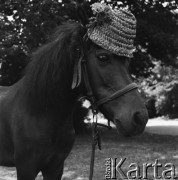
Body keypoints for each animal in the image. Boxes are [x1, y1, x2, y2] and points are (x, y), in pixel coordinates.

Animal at [0, 21, 147, 179]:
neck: (40, 111)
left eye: (127, 61)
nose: (140, 117)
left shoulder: (55, 167)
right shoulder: (26, 168)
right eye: (103, 57)